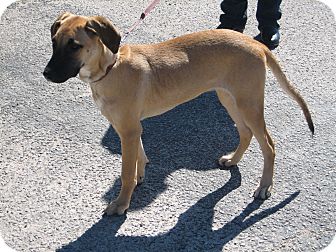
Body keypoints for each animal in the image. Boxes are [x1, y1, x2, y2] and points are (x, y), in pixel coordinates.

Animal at [43, 12, 314, 216]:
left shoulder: (128, 130)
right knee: (246, 133)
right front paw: (140, 175)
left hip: (249, 103)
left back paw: (264, 187)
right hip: (229, 97)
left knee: (269, 145)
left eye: (75, 46)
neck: (110, 68)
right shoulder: (131, 128)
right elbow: (139, 155)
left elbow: (125, 173)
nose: (46, 74)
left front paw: (121, 204)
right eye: (54, 41)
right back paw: (232, 160)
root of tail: (257, 44)